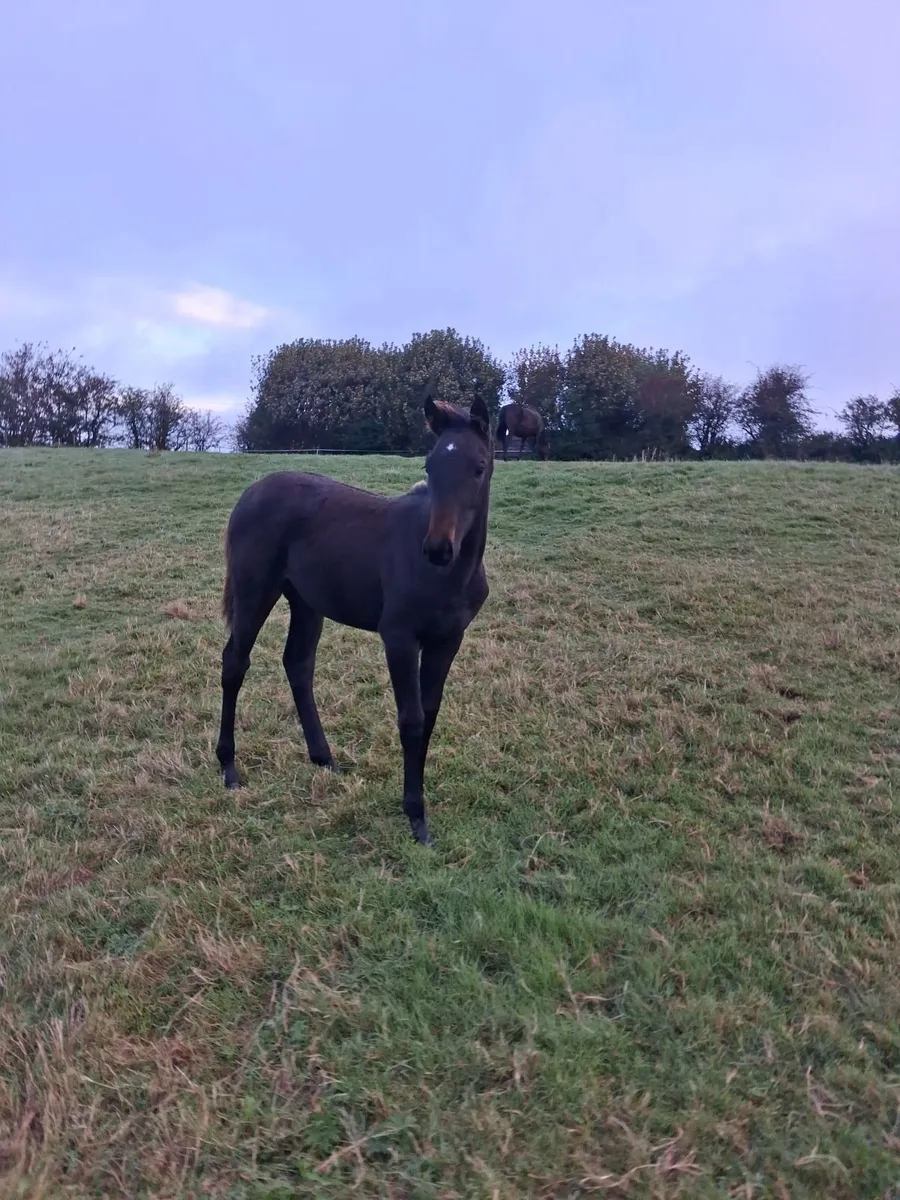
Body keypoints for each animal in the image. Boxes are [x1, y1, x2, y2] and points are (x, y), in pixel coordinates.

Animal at [215, 391, 494, 847]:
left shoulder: (448, 639)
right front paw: (416, 817)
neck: (450, 575)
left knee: (298, 664)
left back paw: (323, 757)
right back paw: (228, 767)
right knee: (235, 663)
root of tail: (251, 491)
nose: (437, 549)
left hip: (306, 602)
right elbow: (411, 720)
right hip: (255, 591)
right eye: (430, 466)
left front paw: (418, 810)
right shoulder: (399, 637)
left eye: (479, 467)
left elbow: (430, 716)